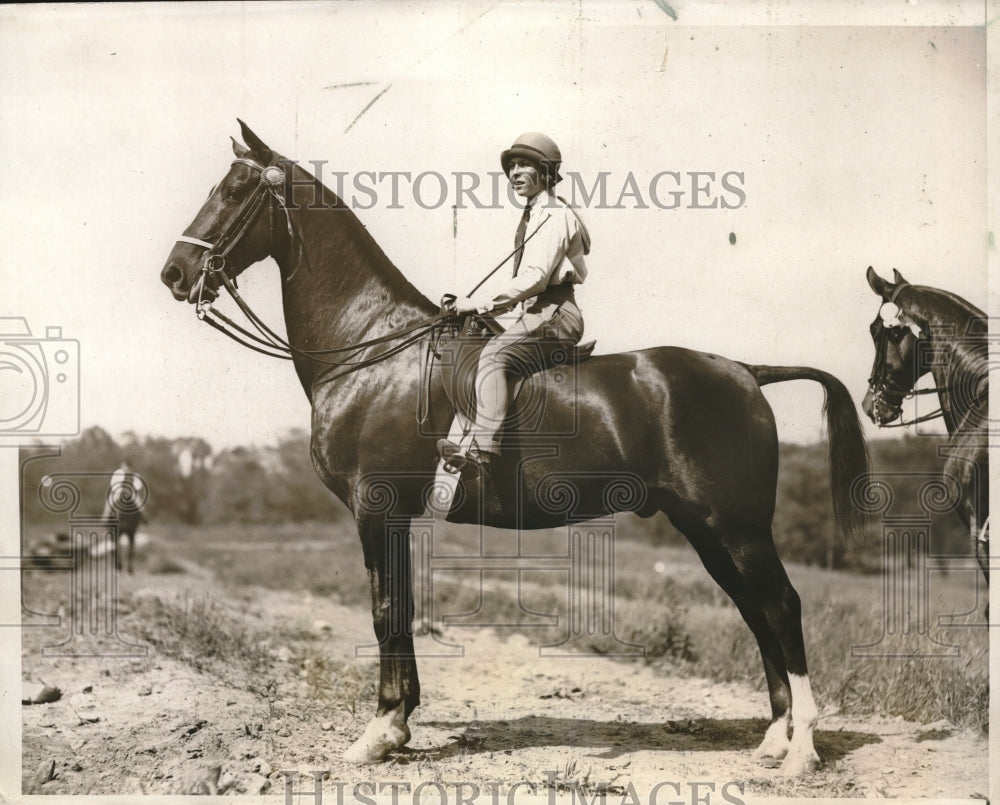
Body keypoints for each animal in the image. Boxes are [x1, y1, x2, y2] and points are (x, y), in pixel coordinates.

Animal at [158, 121, 868, 772]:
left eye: (234, 189)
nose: (175, 272)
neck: (372, 348)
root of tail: (747, 370)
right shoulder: (396, 518)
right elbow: (402, 609)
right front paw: (401, 721)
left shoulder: (376, 511)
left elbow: (386, 610)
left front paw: (380, 731)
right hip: (706, 528)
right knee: (755, 610)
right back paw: (773, 738)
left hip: (737, 526)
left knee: (780, 605)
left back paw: (802, 747)